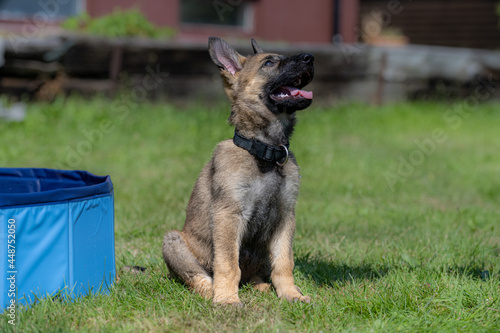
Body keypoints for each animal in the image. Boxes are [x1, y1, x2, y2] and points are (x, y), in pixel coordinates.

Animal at [162, 37, 314, 306]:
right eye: (269, 63)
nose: (310, 58)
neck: (265, 152)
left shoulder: (285, 216)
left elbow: (284, 262)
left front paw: (291, 294)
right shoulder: (229, 214)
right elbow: (228, 263)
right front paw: (226, 299)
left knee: (256, 274)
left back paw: (260, 285)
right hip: (173, 242)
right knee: (197, 276)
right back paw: (211, 289)